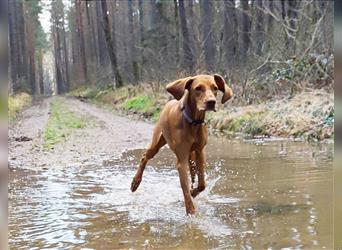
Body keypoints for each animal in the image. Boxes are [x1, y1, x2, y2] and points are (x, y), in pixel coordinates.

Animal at [131, 74, 232, 215]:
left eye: (215, 88)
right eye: (198, 88)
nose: (211, 102)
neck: (193, 122)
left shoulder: (200, 153)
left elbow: (202, 184)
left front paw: (193, 192)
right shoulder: (181, 160)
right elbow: (184, 187)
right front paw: (191, 210)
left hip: (192, 155)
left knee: (194, 173)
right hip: (156, 143)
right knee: (145, 156)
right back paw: (135, 183)